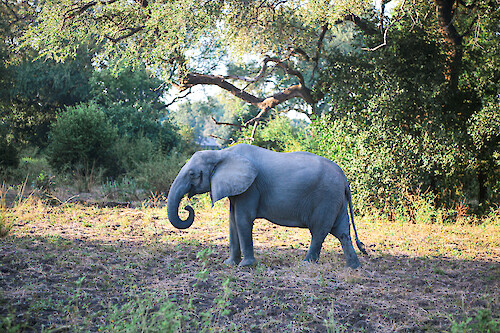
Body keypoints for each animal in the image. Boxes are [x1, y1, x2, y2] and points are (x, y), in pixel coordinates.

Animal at [168, 143, 368, 268]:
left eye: (192, 174)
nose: (187, 208)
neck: (222, 153)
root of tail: (344, 178)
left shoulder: (251, 187)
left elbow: (242, 219)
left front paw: (246, 266)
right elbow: (232, 221)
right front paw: (230, 264)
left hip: (326, 198)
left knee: (319, 232)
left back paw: (306, 264)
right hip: (336, 199)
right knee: (342, 232)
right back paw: (353, 267)